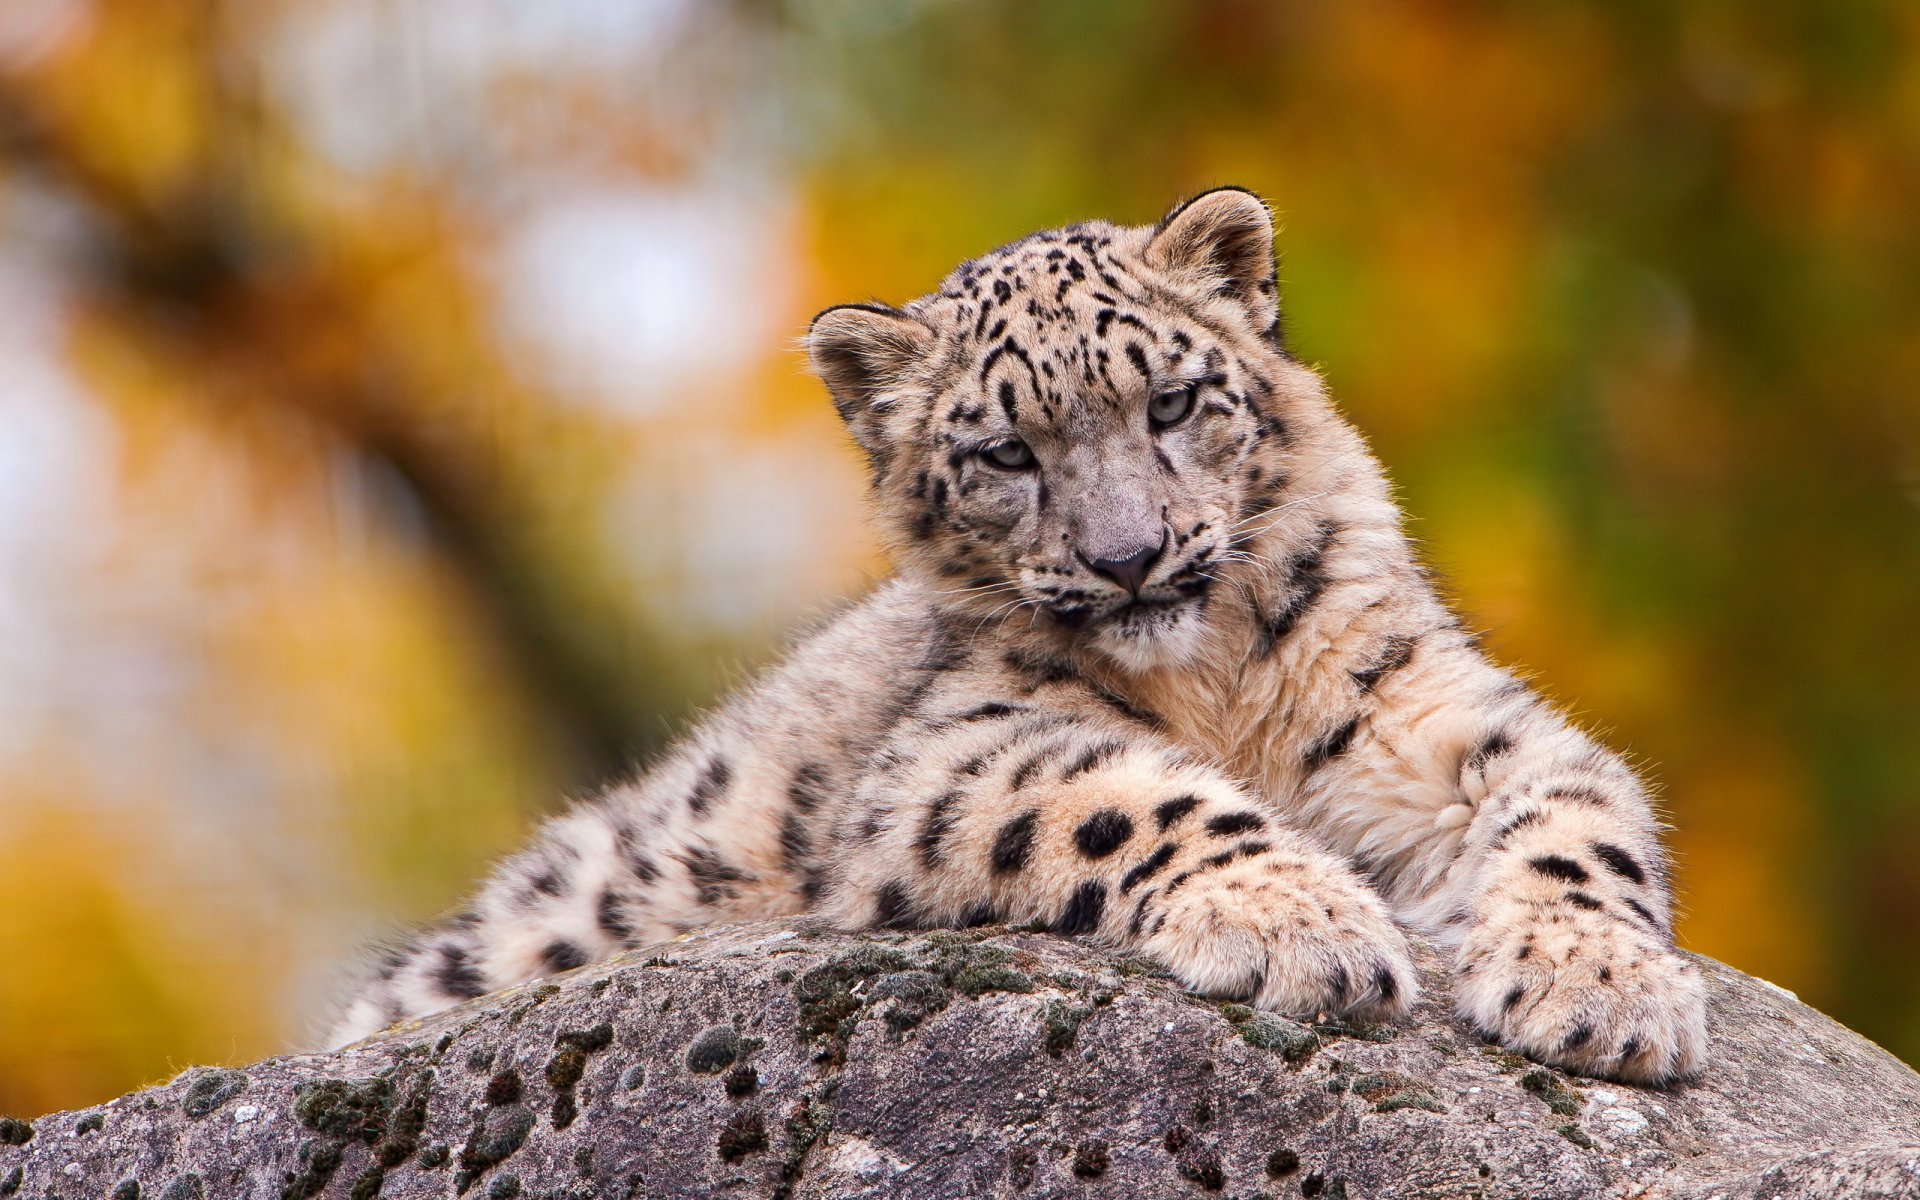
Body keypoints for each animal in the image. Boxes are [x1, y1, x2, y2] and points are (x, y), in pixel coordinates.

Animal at [328, 187, 1708, 1085]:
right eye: (1005, 455)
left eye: (1173, 401)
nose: (1129, 556)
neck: (1216, 683)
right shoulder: (954, 756)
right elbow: (1138, 795)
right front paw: (1301, 927)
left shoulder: (1439, 714)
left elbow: (1579, 817)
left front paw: (1604, 991)